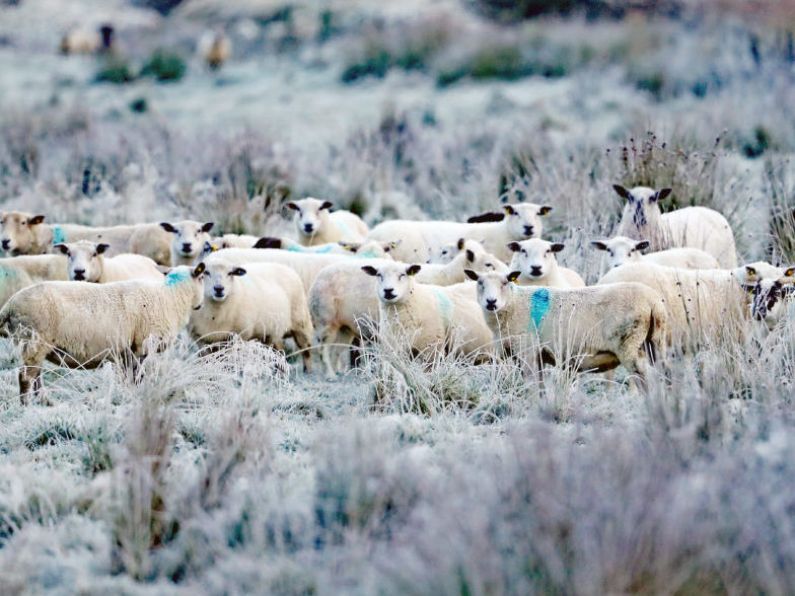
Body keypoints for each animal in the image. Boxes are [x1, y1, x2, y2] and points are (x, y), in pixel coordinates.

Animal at [0, 264, 208, 400]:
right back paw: (27, 406)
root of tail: (9, 306)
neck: (171, 297)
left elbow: (128, 378)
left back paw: (43, 402)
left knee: (36, 376)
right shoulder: (141, 347)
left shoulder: (126, 352)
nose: (201, 305)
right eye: (203, 277)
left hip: (36, 346)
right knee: (25, 378)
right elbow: (137, 377)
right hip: (33, 341)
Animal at [464, 268, 668, 380]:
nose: (491, 302)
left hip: (630, 344)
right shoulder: (536, 356)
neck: (514, 304)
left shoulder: (528, 351)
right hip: (656, 342)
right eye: (480, 282)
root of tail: (653, 301)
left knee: (645, 376)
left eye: (505, 282)